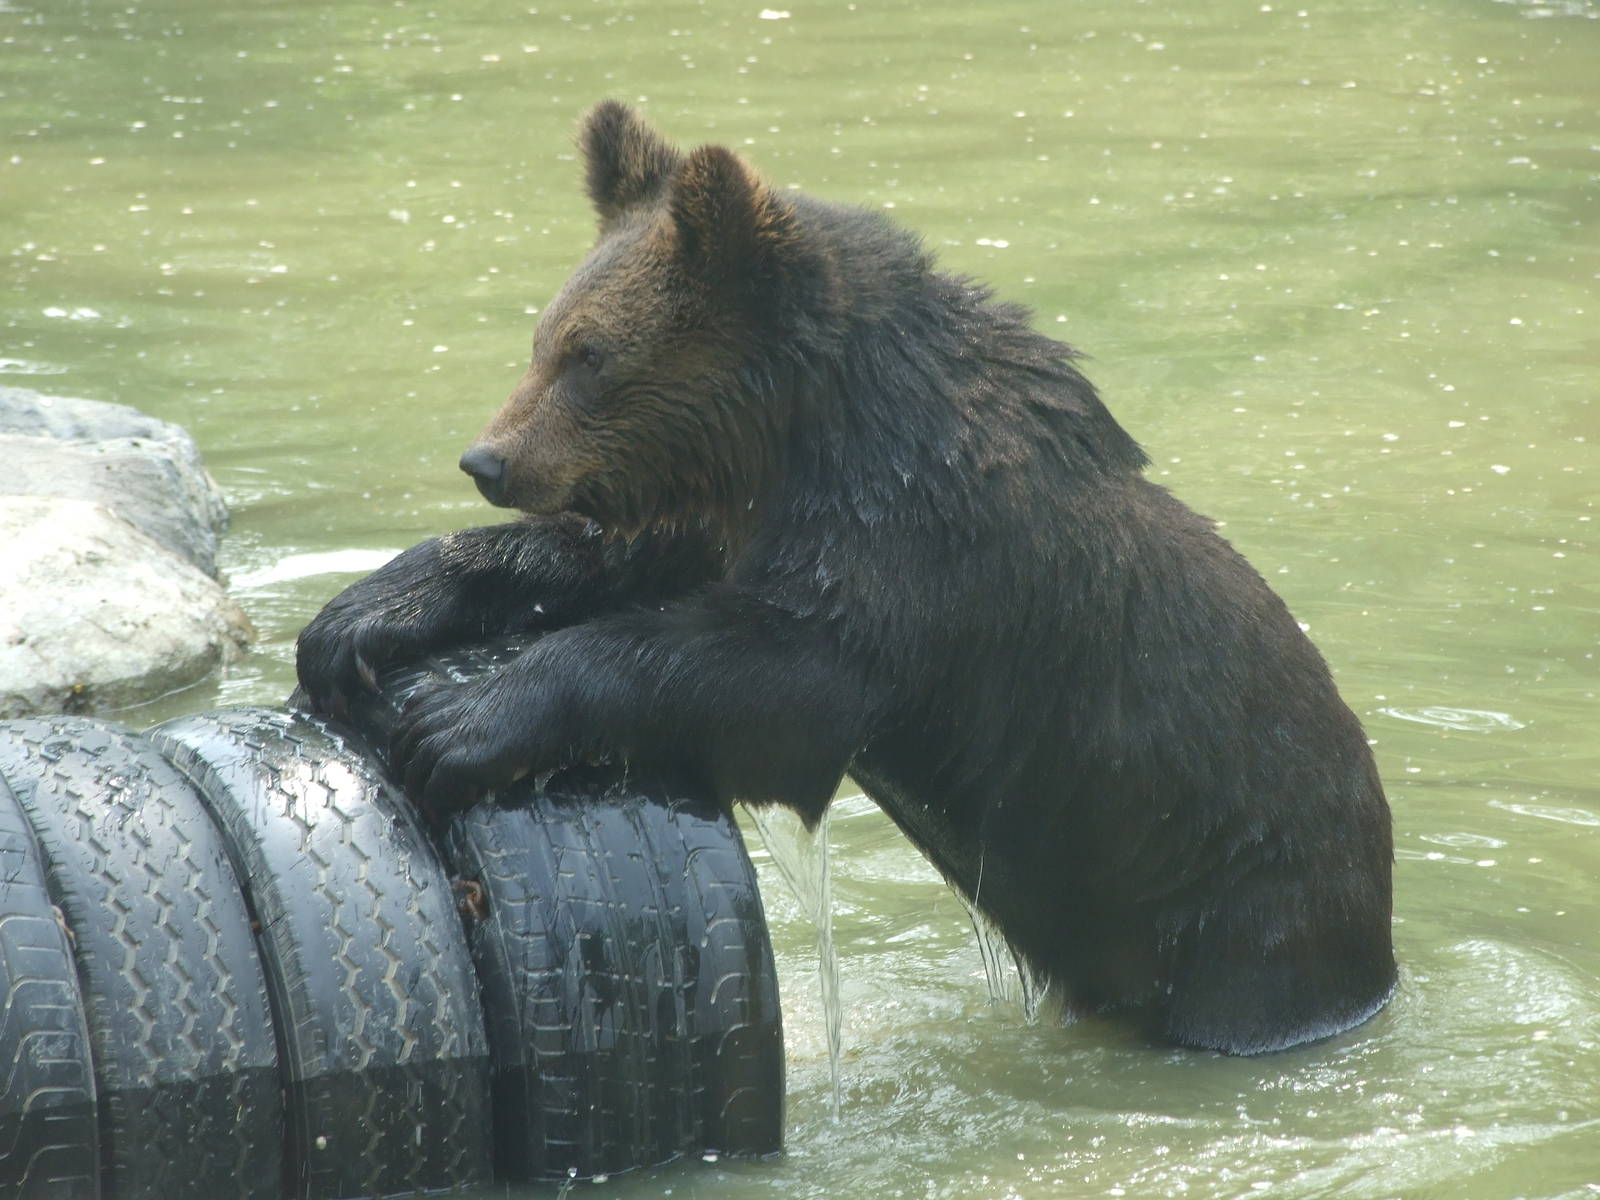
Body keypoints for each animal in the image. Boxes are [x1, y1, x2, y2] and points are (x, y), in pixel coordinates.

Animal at [296, 100, 1396, 1056]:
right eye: (546, 337)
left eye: (590, 355)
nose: (489, 458)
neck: (801, 435)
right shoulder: (733, 517)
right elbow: (609, 562)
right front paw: (360, 619)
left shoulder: (916, 552)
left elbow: (780, 672)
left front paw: (458, 724)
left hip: (1236, 899)